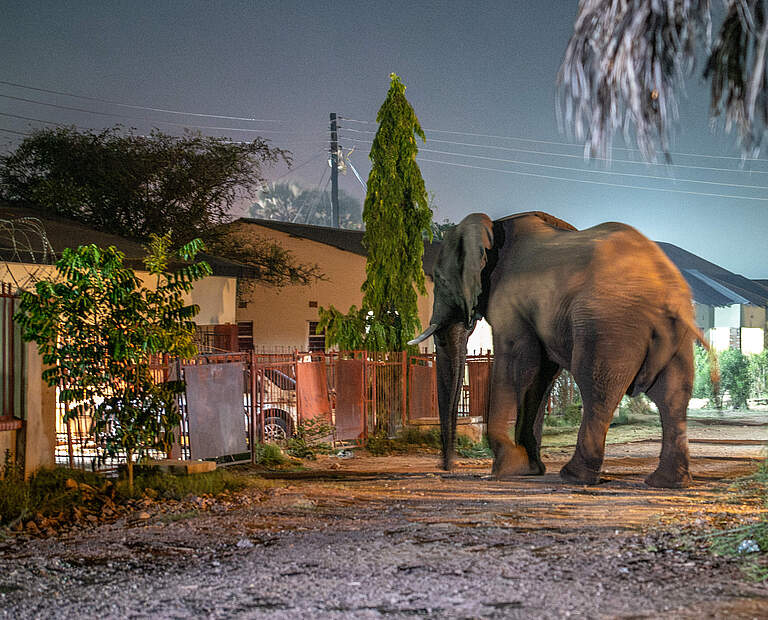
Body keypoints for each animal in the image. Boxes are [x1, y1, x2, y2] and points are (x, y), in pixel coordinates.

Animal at [408, 213, 708, 490]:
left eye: (440, 280)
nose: (447, 467)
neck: (494, 227)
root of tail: (667, 292)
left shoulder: (510, 303)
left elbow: (518, 364)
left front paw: (505, 471)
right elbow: (541, 374)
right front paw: (528, 470)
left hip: (608, 327)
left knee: (597, 389)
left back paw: (574, 476)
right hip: (672, 336)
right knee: (672, 396)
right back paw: (667, 482)